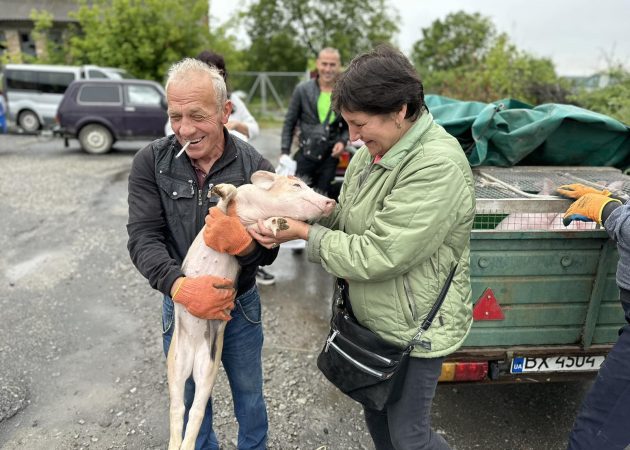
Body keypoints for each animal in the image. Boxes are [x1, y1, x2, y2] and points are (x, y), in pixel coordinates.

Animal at [167, 170, 336, 450]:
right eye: (296, 184)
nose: (331, 201)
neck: (250, 216)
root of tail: (190, 355)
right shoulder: (231, 203)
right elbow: (230, 194)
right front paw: (217, 191)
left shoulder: (256, 233)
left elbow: (262, 234)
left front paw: (280, 224)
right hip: (173, 360)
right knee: (178, 407)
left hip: (208, 365)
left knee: (194, 410)